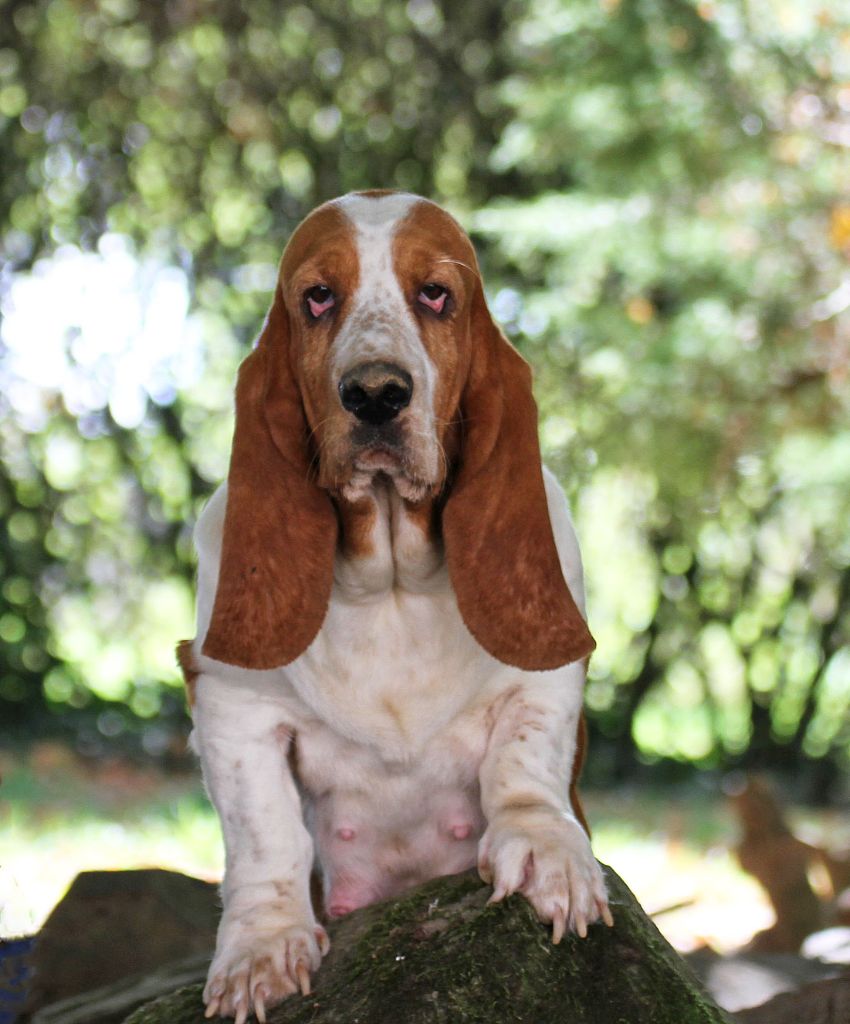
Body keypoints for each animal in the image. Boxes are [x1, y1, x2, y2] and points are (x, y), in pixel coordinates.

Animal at [183, 192, 614, 1024]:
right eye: (319, 297)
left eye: (436, 295)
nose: (377, 393)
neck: (389, 586)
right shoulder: (230, 703)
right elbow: (264, 831)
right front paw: (262, 948)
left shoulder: (547, 676)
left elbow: (526, 757)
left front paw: (545, 852)